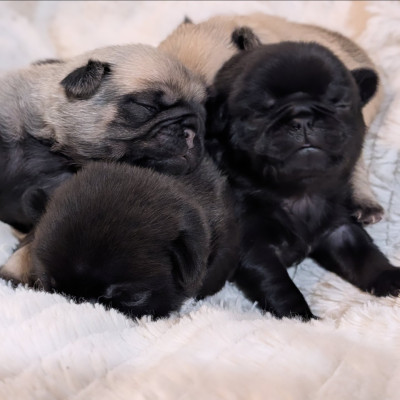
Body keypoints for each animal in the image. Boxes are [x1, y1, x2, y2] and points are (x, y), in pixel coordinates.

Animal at [205, 41, 400, 321]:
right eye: (260, 112)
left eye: (337, 104)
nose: (303, 118)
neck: (299, 192)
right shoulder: (255, 248)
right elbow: (279, 285)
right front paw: (302, 318)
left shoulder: (341, 229)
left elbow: (366, 256)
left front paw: (391, 278)